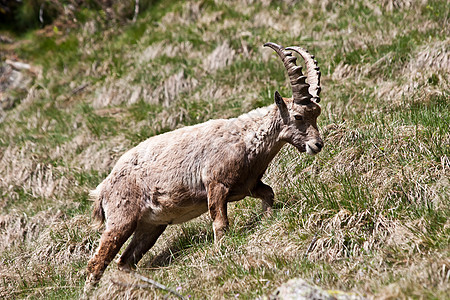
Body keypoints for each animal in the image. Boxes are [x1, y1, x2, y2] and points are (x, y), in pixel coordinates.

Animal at [84, 42, 324, 288]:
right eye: (298, 116)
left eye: (316, 113)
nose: (317, 144)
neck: (246, 140)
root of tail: (102, 189)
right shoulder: (216, 185)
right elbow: (220, 223)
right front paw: (222, 251)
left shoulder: (249, 185)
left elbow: (269, 193)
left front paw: (267, 219)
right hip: (121, 220)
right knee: (97, 262)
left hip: (151, 225)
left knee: (125, 261)